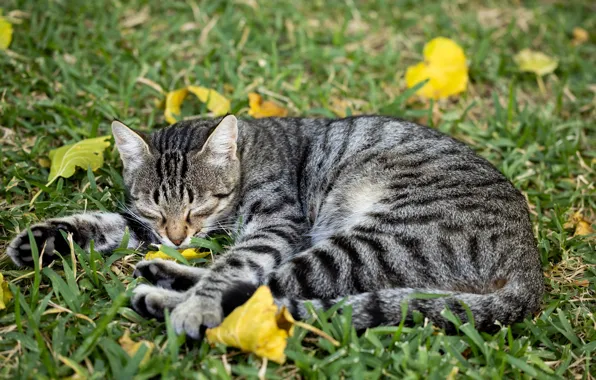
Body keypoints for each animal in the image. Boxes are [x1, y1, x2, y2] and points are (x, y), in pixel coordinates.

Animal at [5, 115, 544, 338]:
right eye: (159, 211)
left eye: (200, 207)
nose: (178, 238)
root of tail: (531, 266)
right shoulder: (147, 226)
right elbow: (107, 224)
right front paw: (43, 239)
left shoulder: (278, 225)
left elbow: (233, 267)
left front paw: (192, 303)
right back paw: (163, 276)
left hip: (367, 244)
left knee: (260, 289)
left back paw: (168, 299)